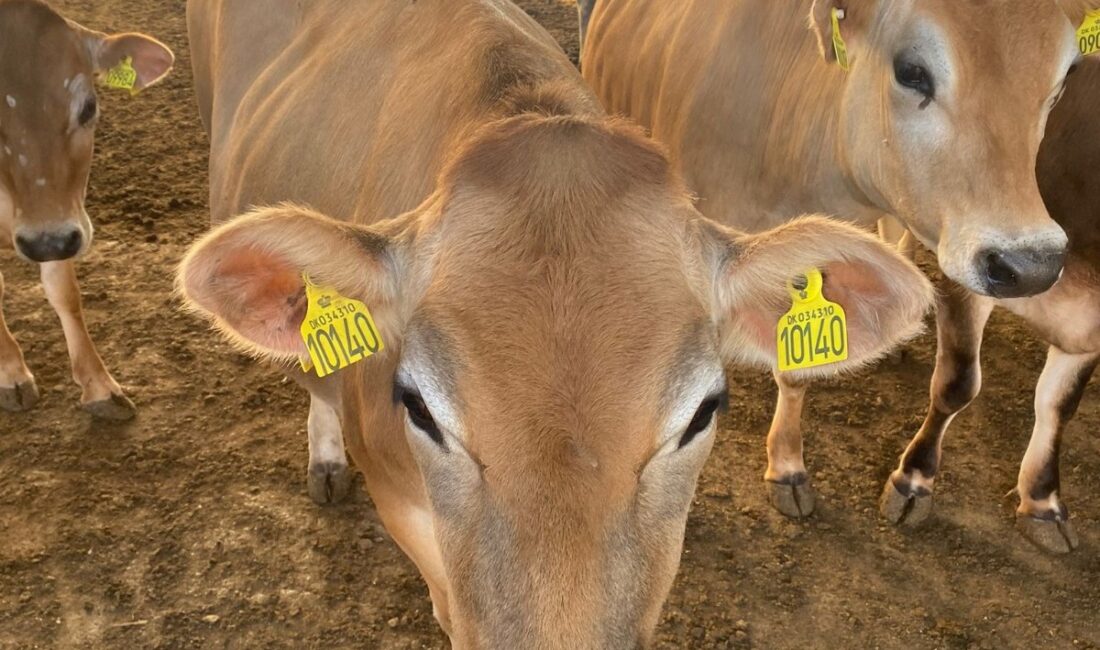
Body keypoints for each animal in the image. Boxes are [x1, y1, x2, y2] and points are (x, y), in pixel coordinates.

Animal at [0, 0, 172, 420]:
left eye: (88, 107)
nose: (46, 242)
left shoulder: (63, 218)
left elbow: (64, 292)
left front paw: (100, 387)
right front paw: (11, 374)